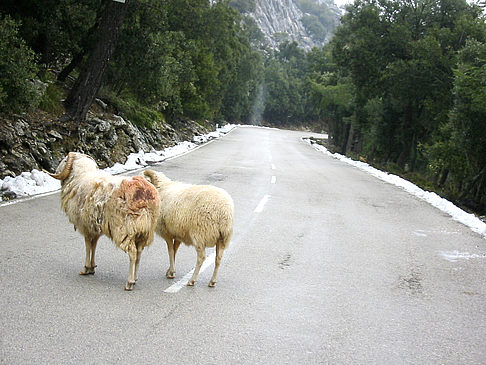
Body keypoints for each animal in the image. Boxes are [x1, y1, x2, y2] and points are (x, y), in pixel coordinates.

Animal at [50, 151, 159, 290]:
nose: (56, 170)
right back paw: (135, 278)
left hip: (125, 229)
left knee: (133, 253)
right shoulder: (95, 226)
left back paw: (129, 282)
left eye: (64, 161)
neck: (79, 176)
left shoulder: (85, 225)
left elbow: (87, 245)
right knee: (139, 253)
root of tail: (145, 197)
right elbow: (94, 244)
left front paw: (86, 268)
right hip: (144, 232)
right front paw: (92, 267)